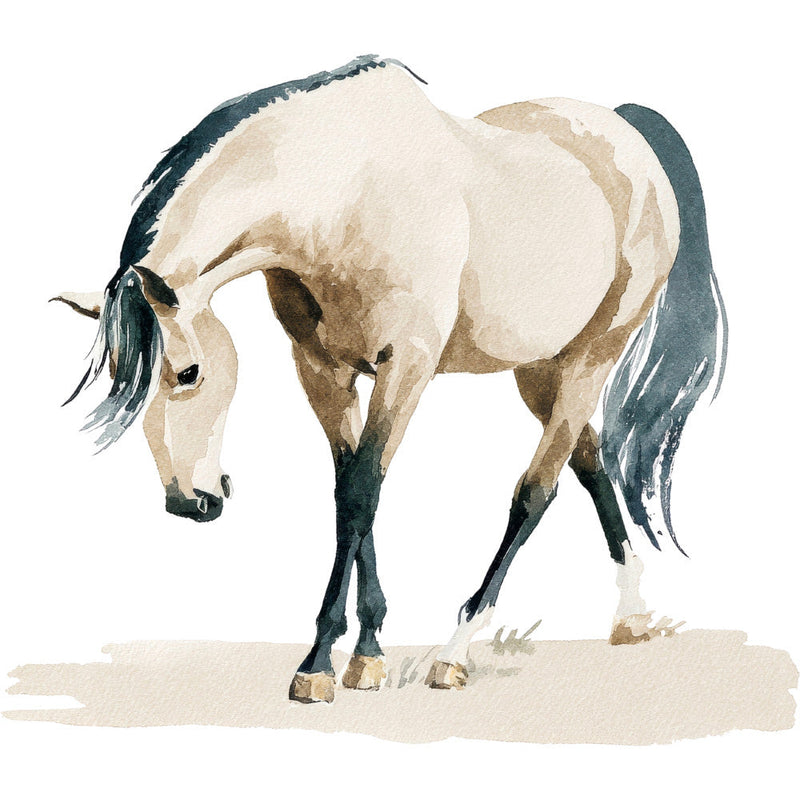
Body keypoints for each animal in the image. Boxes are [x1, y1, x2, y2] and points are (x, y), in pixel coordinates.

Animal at [54, 55, 727, 704]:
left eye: (189, 373)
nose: (190, 501)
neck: (345, 195)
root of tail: (624, 129)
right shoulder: (323, 371)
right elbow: (349, 490)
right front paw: (367, 653)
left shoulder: (406, 368)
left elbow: (363, 492)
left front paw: (318, 665)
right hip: (539, 369)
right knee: (588, 460)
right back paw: (631, 613)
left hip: (592, 357)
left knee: (536, 490)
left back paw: (455, 651)